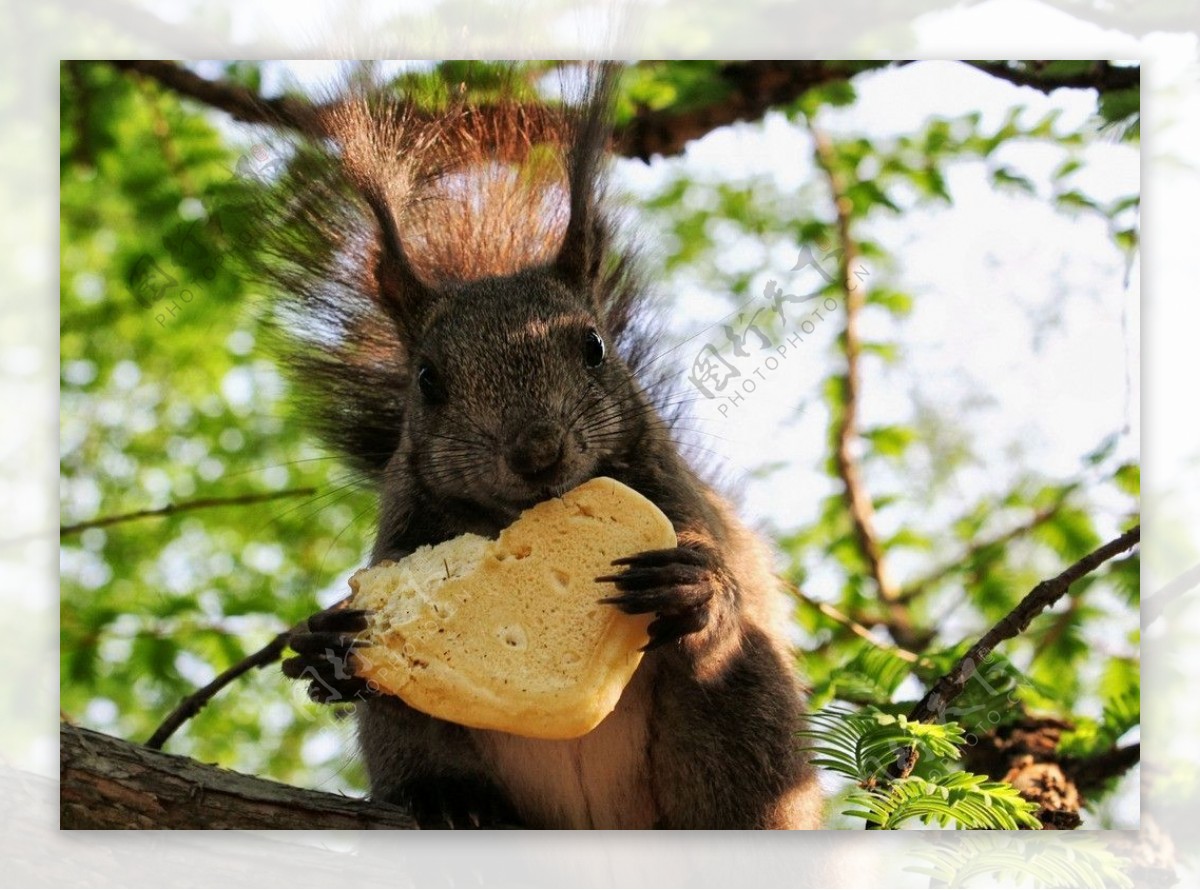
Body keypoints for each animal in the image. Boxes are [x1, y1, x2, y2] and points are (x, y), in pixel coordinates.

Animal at [266, 60, 820, 830]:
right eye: (427, 381)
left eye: (594, 348)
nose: (536, 452)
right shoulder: (401, 533)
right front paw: (324, 648)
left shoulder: (676, 497)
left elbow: (721, 580)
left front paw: (693, 586)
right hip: (411, 735)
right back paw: (448, 801)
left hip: (745, 716)